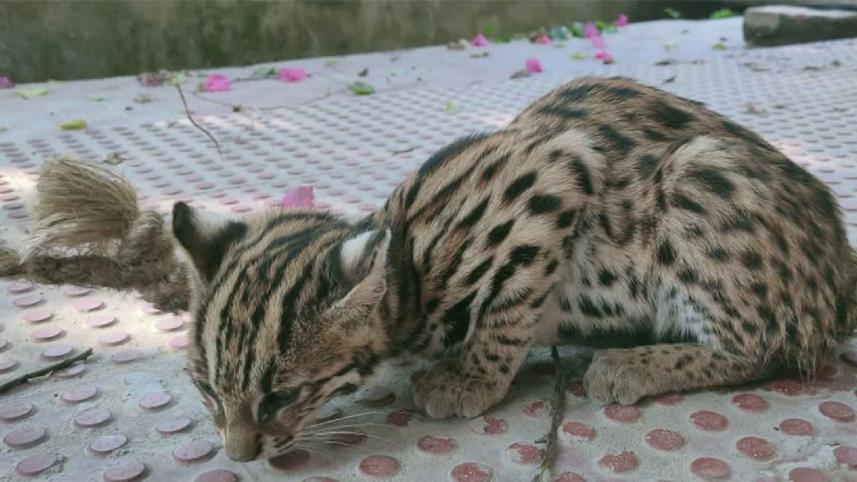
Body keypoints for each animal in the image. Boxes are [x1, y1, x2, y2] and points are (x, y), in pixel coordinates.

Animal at [170, 76, 857, 462]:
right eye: (206, 390)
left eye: (281, 397)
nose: (239, 457)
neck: (410, 266)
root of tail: (843, 276)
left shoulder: (553, 176)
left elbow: (510, 306)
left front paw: (473, 378)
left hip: (699, 178)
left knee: (771, 345)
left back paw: (636, 362)